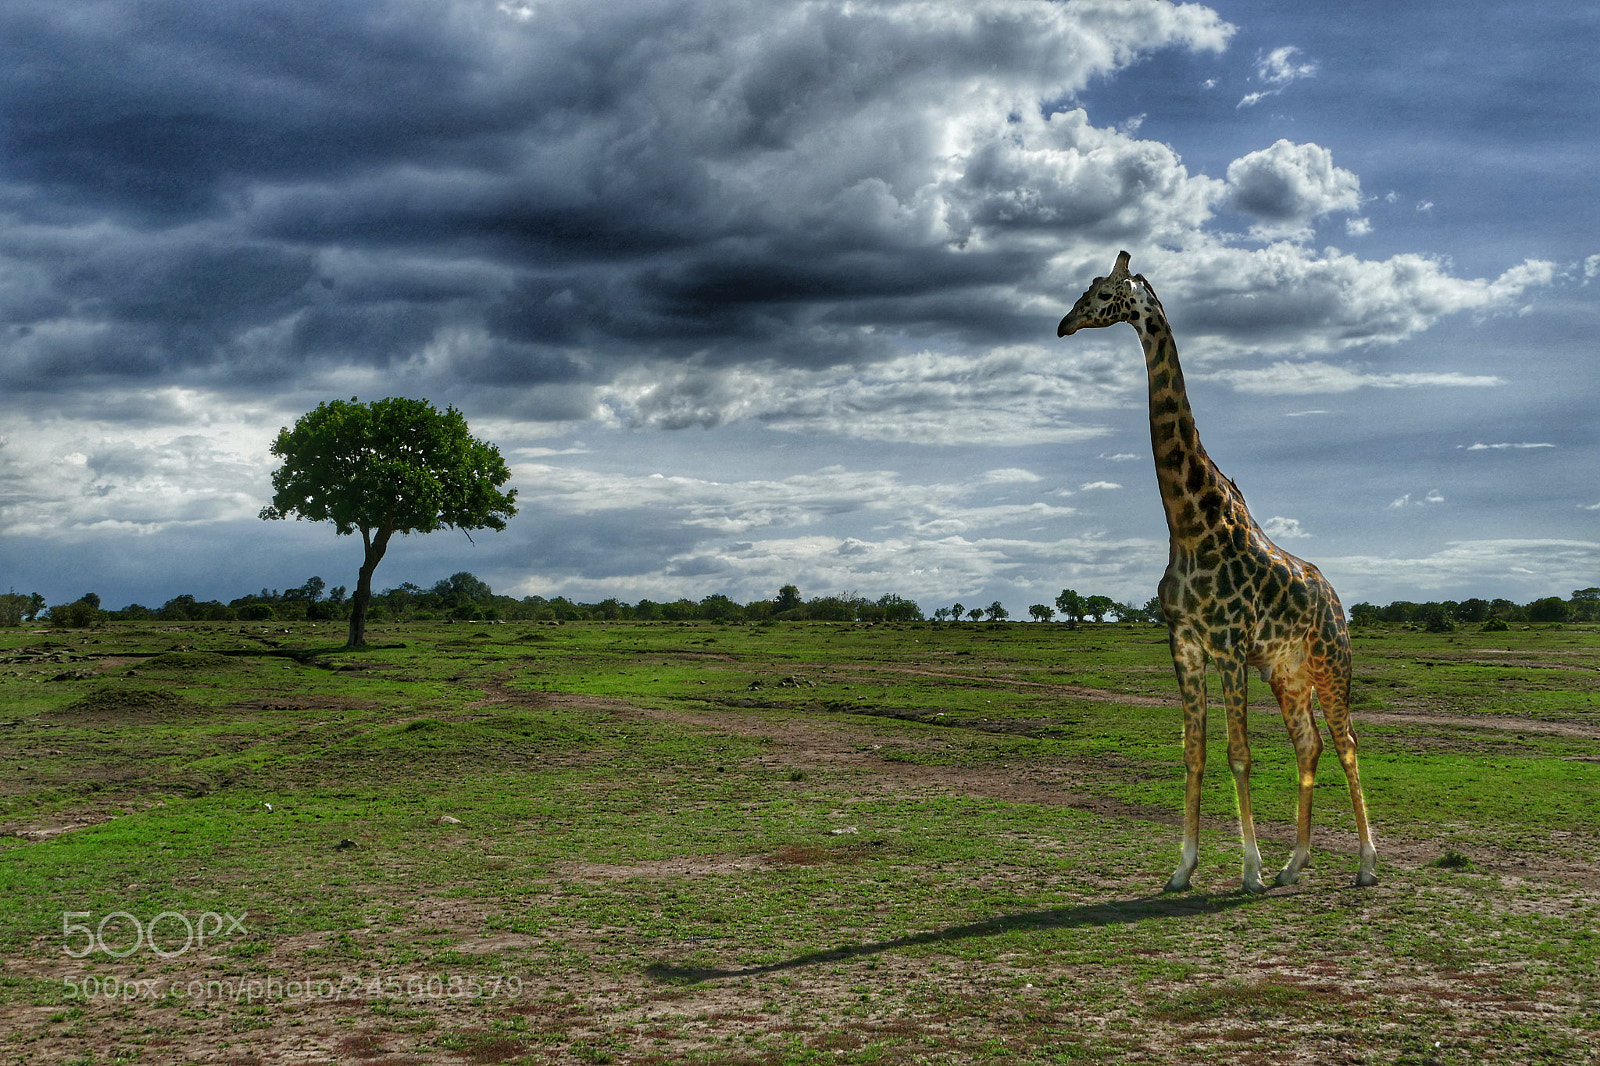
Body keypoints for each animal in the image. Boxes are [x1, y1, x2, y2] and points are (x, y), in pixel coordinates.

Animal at [1057, 251, 1378, 893]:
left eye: (1102, 293)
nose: (1063, 324)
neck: (1187, 523)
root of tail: (1335, 597)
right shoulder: (1184, 645)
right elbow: (1195, 752)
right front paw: (1183, 868)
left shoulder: (1229, 645)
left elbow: (1239, 754)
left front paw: (1248, 870)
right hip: (1287, 671)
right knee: (1309, 745)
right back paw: (1294, 864)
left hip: (1331, 662)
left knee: (1347, 741)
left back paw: (1364, 864)